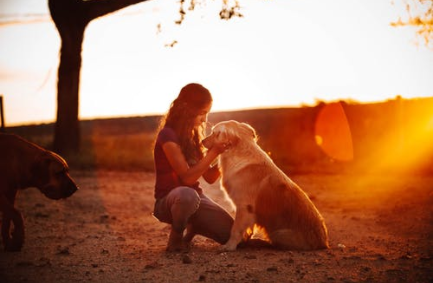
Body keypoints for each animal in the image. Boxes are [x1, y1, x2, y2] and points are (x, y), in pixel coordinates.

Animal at [202, 121, 328, 252]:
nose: (202, 141)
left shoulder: (244, 207)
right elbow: (247, 230)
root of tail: (323, 243)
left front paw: (229, 246)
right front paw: (243, 240)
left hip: (277, 233)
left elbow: (235, 229)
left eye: (214, 133)